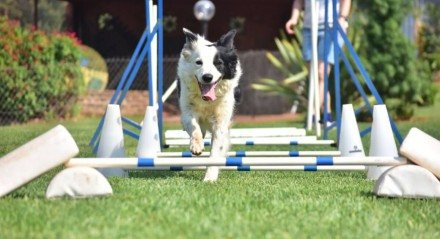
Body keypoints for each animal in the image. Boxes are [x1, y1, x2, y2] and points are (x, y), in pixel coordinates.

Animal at [177, 28, 242, 181]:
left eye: (218, 63)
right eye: (198, 62)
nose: (207, 77)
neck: (206, 101)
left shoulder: (221, 121)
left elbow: (216, 151)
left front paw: (210, 177)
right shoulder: (188, 111)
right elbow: (194, 128)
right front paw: (196, 146)